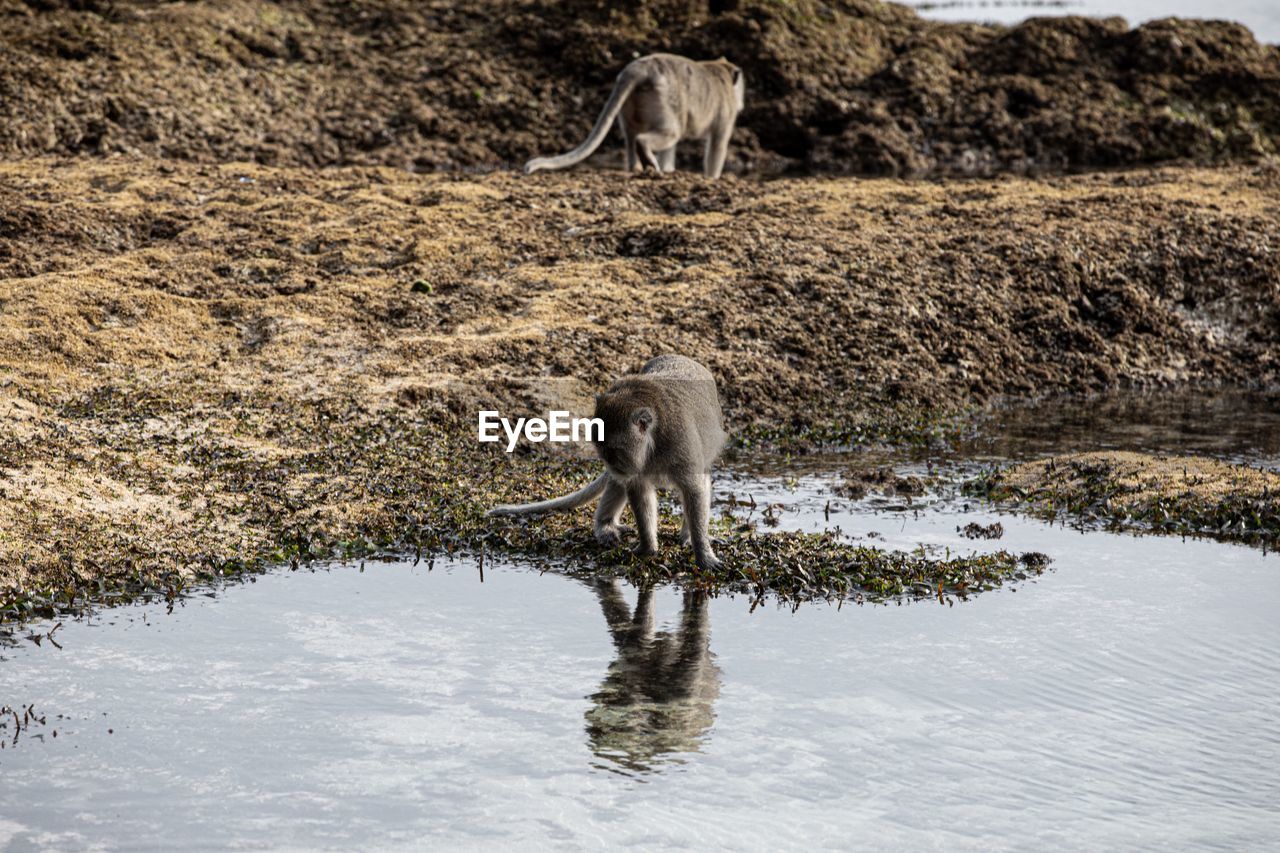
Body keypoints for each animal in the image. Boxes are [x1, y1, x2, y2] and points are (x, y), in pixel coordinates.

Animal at [488, 356, 727, 568]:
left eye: (614, 451)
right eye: (601, 450)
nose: (610, 465)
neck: (652, 447)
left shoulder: (681, 447)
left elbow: (694, 490)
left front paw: (702, 551)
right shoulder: (633, 468)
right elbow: (637, 490)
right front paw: (648, 548)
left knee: (701, 482)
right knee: (617, 484)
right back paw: (605, 525)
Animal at [517, 53, 742, 179]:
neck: (719, 69)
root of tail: (640, 68)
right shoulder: (727, 111)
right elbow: (718, 144)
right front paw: (712, 177)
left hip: (633, 101)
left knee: (632, 135)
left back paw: (636, 166)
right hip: (665, 96)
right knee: (668, 133)